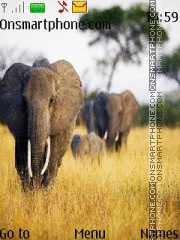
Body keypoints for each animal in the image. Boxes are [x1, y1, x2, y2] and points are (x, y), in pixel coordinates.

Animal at [0, 58, 83, 191]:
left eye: (52, 100)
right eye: (24, 101)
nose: (36, 185)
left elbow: (52, 158)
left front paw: (42, 193)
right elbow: (22, 159)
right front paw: (30, 193)